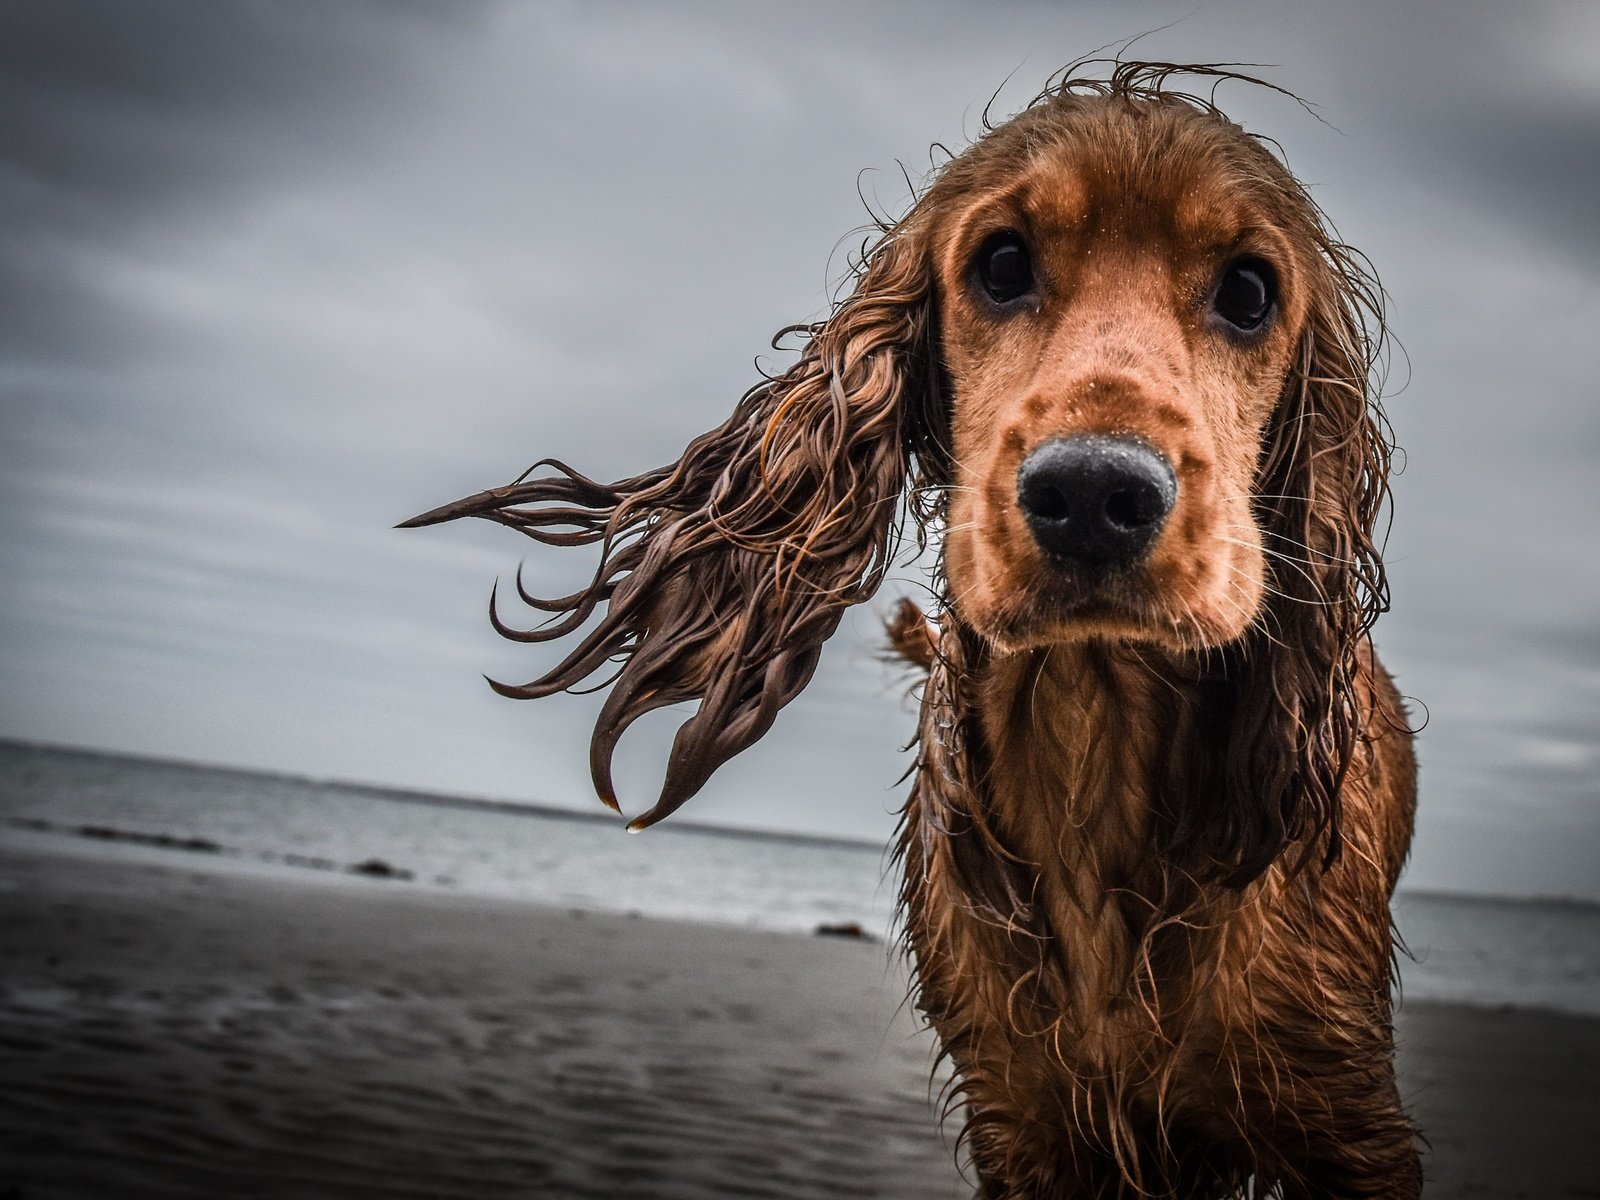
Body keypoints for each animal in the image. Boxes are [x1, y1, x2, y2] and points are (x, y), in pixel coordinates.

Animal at [406, 63, 1420, 1200]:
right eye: (1002, 263)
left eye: (1249, 293)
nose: (1094, 495)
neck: (1096, 741)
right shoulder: (1022, 1114)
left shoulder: (1338, 1109)